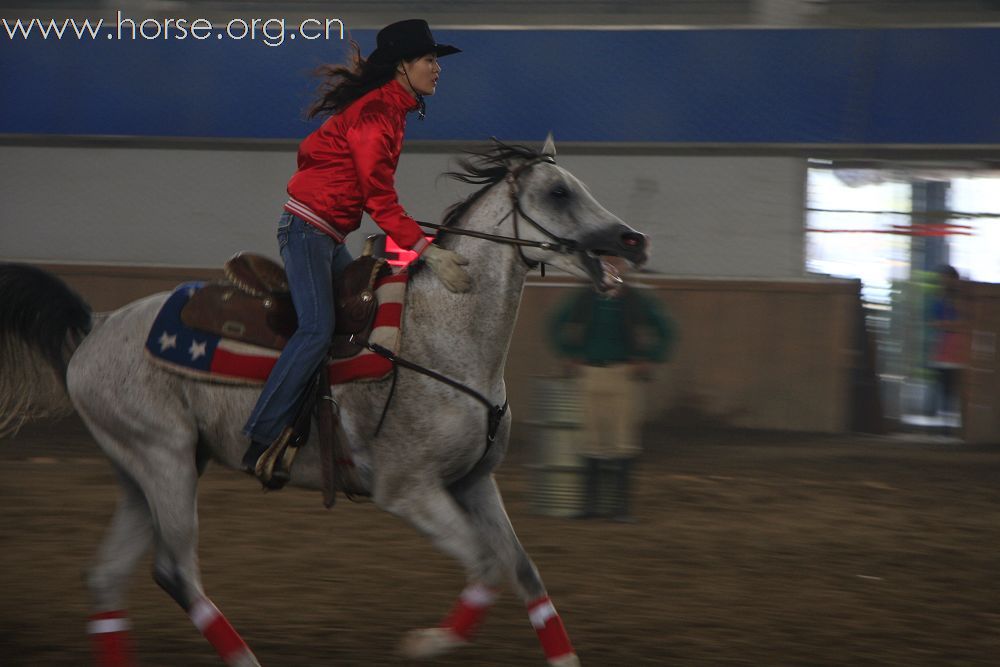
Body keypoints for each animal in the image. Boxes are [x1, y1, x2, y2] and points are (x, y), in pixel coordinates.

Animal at [0, 138, 648, 664]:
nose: (634, 240)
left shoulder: (473, 481)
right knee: (174, 571)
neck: (443, 334)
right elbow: (486, 566)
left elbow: (523, 572)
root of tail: (98, 323)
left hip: (145, 468)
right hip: (163, 459)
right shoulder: (407, 490)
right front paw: (426, 643)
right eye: (559, 191)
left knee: (107, 579)